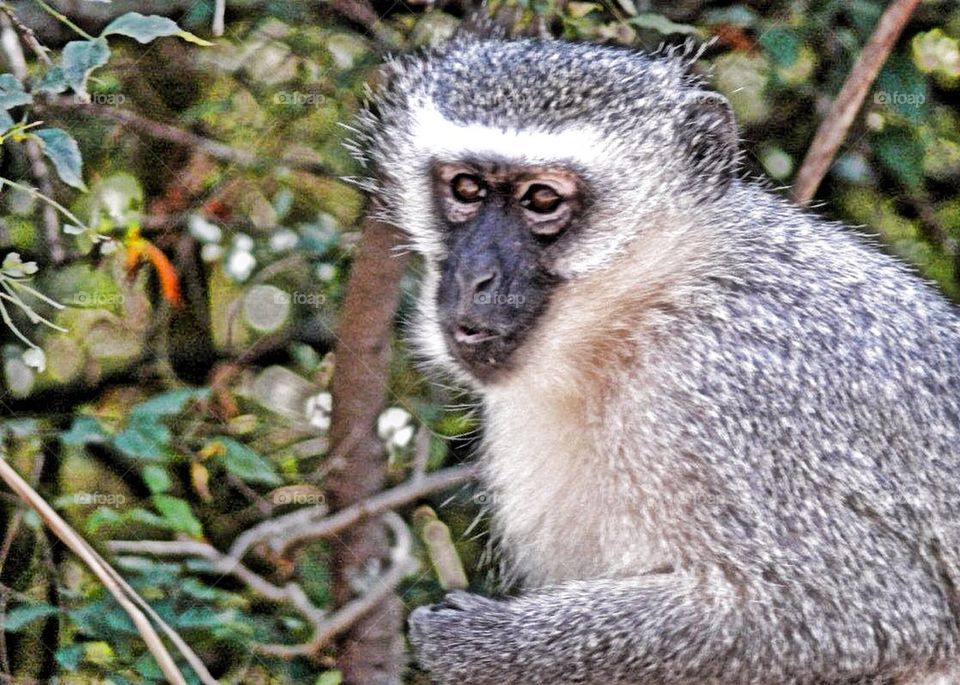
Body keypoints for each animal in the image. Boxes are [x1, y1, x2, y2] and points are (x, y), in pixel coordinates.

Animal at [348, 36, 960, 685]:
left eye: (542, 199)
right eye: (465, 189)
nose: (473, 277)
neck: (643, 307)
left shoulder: (721, 390)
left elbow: (861, 614)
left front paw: (481, 646)